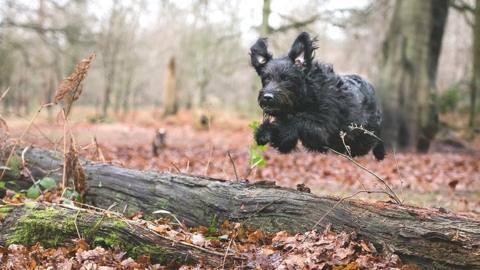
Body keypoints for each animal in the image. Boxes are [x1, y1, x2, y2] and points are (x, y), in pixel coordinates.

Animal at [249, 32, 384, 160]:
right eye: (266, 78)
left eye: (286, 78)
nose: (267, 97)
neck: (309, 92)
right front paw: (264, 131)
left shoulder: (322, 128)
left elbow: (299, 120)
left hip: (365, 134)